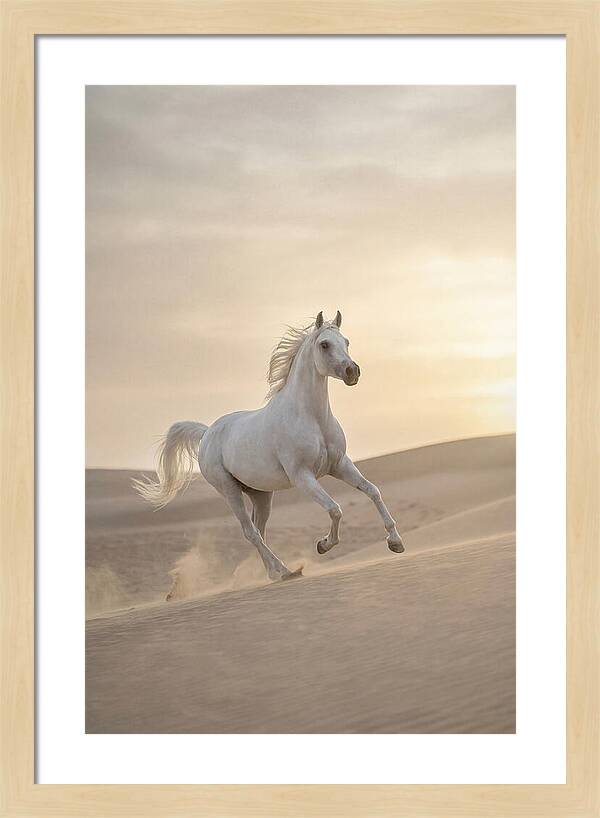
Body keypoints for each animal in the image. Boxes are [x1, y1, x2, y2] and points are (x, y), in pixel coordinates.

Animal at [134, 310, 404, 582]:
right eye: (324, 344)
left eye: (346, 342)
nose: (352, 371)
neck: (312, 417)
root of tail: (207, 432)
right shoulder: (302, 477)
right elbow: (335, 509)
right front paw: (323, 544)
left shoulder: (339, 465)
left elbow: (372, 491)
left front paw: (395, 542)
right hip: (229, 490)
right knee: (250, 532)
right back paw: (284, 571)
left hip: (261, 495)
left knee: (259, 530)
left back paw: (274, 573)